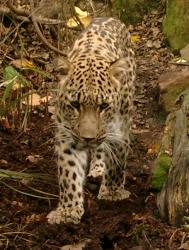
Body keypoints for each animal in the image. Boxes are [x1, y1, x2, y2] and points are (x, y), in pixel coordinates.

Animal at [47, 17, 136, 225]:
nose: (88, 138)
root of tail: (111, 17)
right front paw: (67, 211)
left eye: (103, 106)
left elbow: (117, 161)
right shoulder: (67, 135)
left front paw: (112, 193)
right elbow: (69, 173)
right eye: (75, 104)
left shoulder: (119, 131)